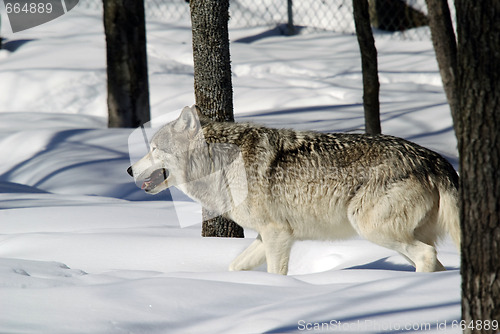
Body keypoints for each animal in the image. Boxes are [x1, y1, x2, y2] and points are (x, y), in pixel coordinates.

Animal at [128, 105, 460, 276]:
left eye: (154, 149)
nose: (130, 170)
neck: (222, 164)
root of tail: (436, 159)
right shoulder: (267, 235)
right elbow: (235, 266)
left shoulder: (277, 234)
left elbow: (276, 273)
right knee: (436, 261)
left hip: (374, 230)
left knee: (427, 255)